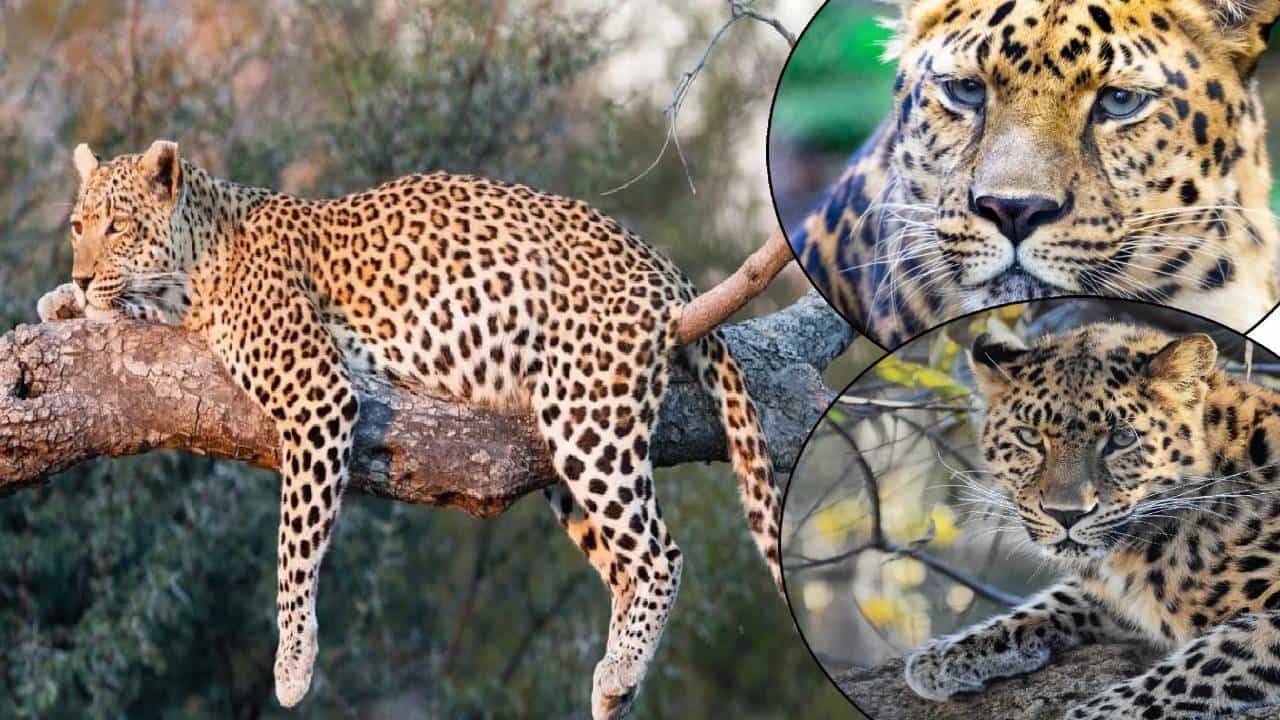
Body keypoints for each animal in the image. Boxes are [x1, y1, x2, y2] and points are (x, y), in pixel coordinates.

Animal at [36, 139, 783, 719]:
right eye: (77, 227)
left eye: (118, 226)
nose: (80, 271)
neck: (197, 258)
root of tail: (665, 268)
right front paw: (64, 299)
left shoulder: (317, 395)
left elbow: (294, 546)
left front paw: (293, 662)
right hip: (560, 442)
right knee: (629, 560)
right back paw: (613, 683)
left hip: (588, 411)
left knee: (660, 554)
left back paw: (623, 666)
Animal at [904, 321, 1280, 718]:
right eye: (1028, 437)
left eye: (1122, 438)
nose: (1065, 514)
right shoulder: (1122, 593)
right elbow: (1059, 598)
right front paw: (944, 656)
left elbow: (1208, 659)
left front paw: (1093, 714)